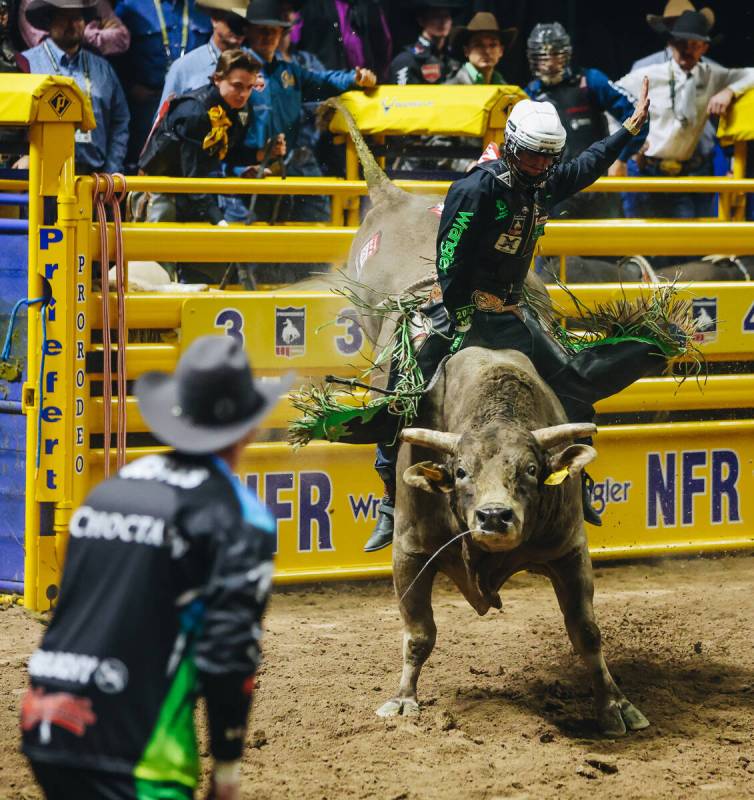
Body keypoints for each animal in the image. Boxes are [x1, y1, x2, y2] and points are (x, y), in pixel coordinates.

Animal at [378, 346, 648, 736]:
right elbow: (418, 635)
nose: (493, 516)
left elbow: (586, 632)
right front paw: (402, 699)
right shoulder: (409, 553)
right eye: (461, 471)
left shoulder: (570, 551)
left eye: (531, 469)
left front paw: (616, 706)